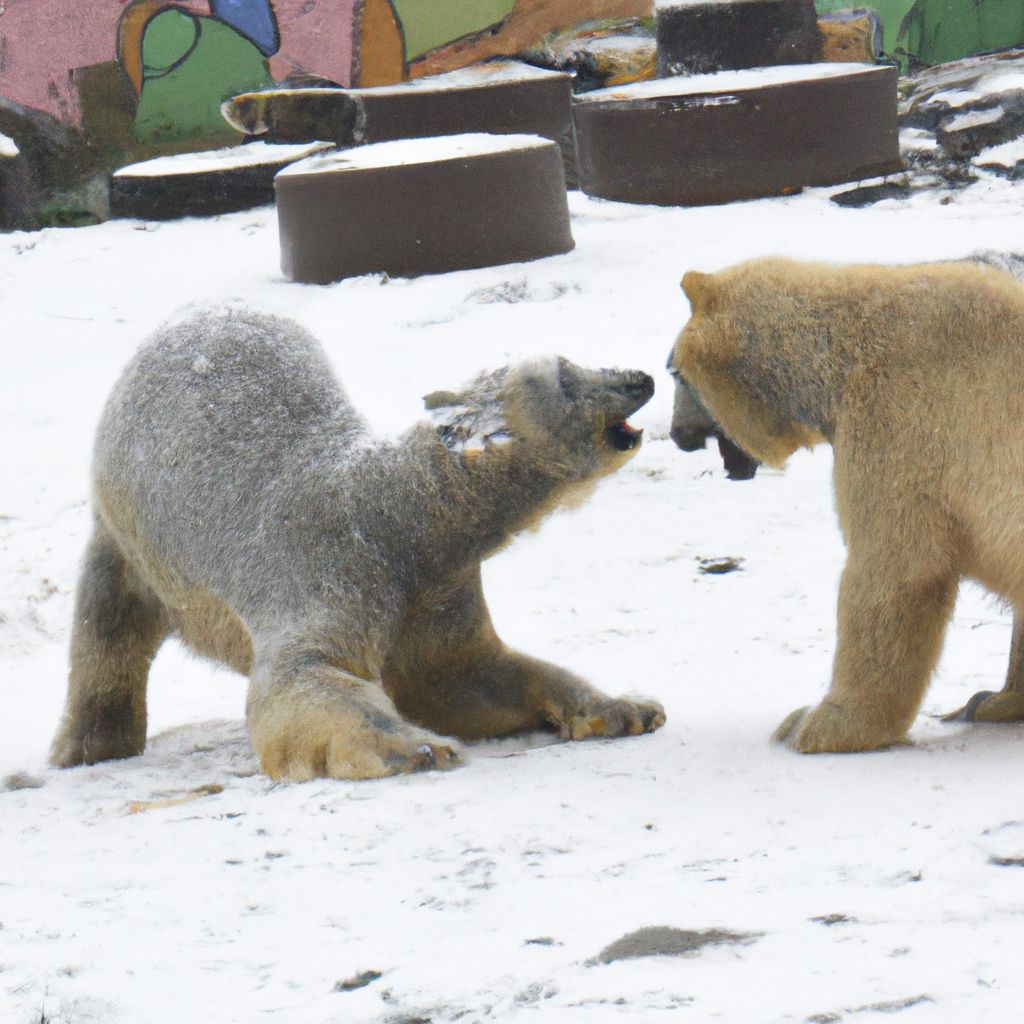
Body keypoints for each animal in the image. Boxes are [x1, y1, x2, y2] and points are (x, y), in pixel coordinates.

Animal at [51, 307, 667, 778]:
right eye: (566, 375)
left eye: (573, 361)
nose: (641, 377)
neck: (390, 515)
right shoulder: (325, 563)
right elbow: (303, 677)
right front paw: (418, 747)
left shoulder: (435, 586)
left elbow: (460, 675)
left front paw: (627, 707)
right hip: (126, 529)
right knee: (106, 626)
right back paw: (88, 748)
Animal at [667, 256, 1024, 753]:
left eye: (673, 372)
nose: (677, 436)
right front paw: (996, 700)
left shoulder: (902, 418)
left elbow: (896, 571)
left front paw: (817, 724)